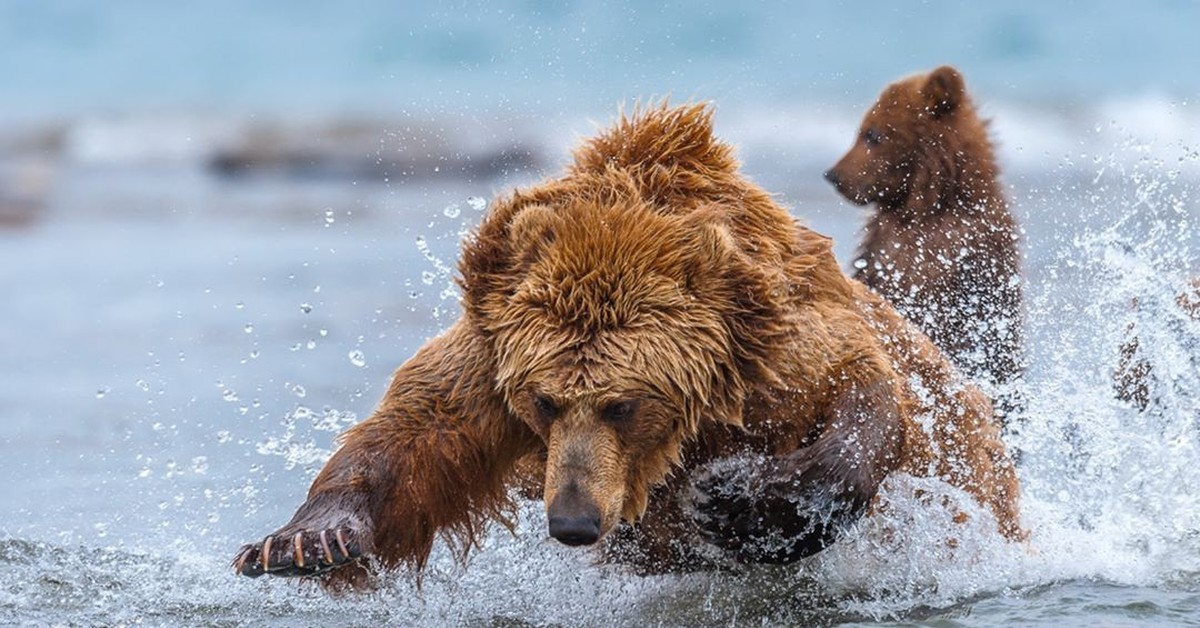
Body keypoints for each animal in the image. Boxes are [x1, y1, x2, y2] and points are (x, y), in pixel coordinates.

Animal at [229, 103, 1017, 590]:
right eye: (544, 403)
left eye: (624, 405)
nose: (574, 522)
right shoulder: (494, 353)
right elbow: (417, 429)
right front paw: (301, 542)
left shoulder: (771, 343)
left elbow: (860, 389)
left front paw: (741, 505)